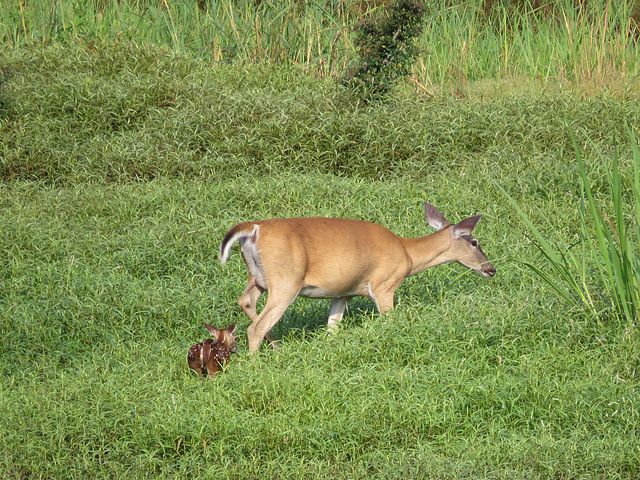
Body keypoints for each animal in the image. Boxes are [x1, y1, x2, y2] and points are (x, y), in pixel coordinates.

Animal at [220, 201, 496, 350]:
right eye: (474, 242)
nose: (491, 269)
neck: (407, 252)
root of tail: (253, 228)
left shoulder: (343, 293)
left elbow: (332, 327)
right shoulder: (384, 285)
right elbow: (389, 321)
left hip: (257, 277)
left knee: (246, 301)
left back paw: (276, 347)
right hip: (286, 280)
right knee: (255, 327)